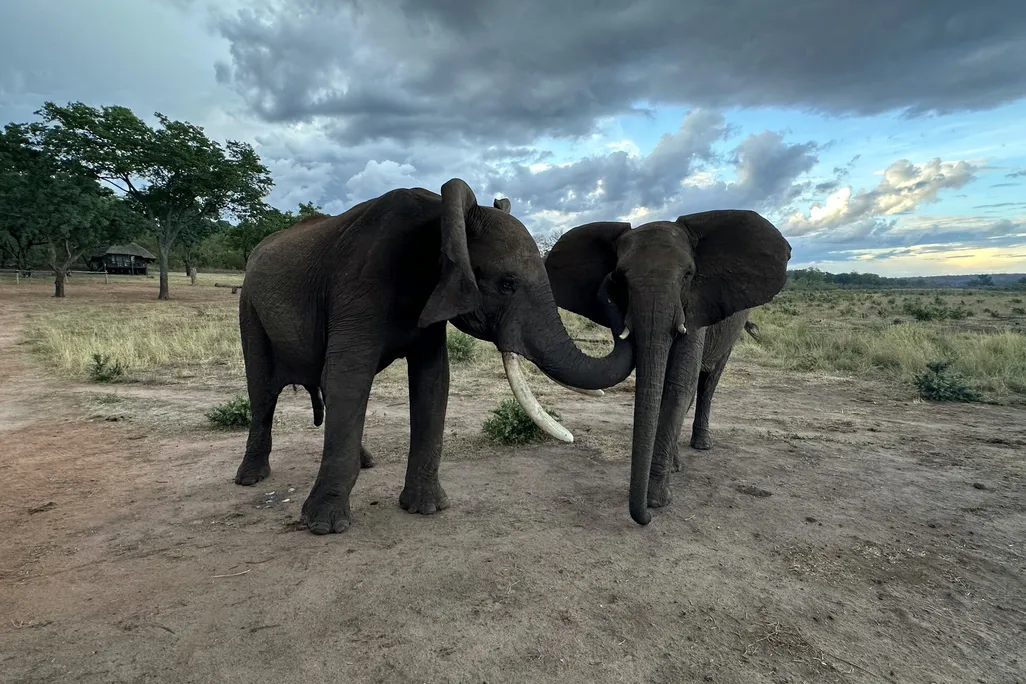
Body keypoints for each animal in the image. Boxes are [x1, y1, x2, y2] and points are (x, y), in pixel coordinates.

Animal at [234, 178, 635, 534]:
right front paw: (324, 527)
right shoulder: (358, 286)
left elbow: (433, 380)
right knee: (263, 391)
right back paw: (250, 479)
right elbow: (348, 378)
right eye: (506, 284)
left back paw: (366, 461)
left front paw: (426, 508)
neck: (440, 218)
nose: (614, 281)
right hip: (249, 306)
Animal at [544, 211, 791, 525]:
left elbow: (677, 386)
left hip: (732, 330)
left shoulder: (696, 306)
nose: (645, 517)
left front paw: (656, 501)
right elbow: (657, 387)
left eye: (687, 275)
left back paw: (701, 445)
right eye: (620, 278)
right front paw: (661, 487)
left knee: (709, 382)